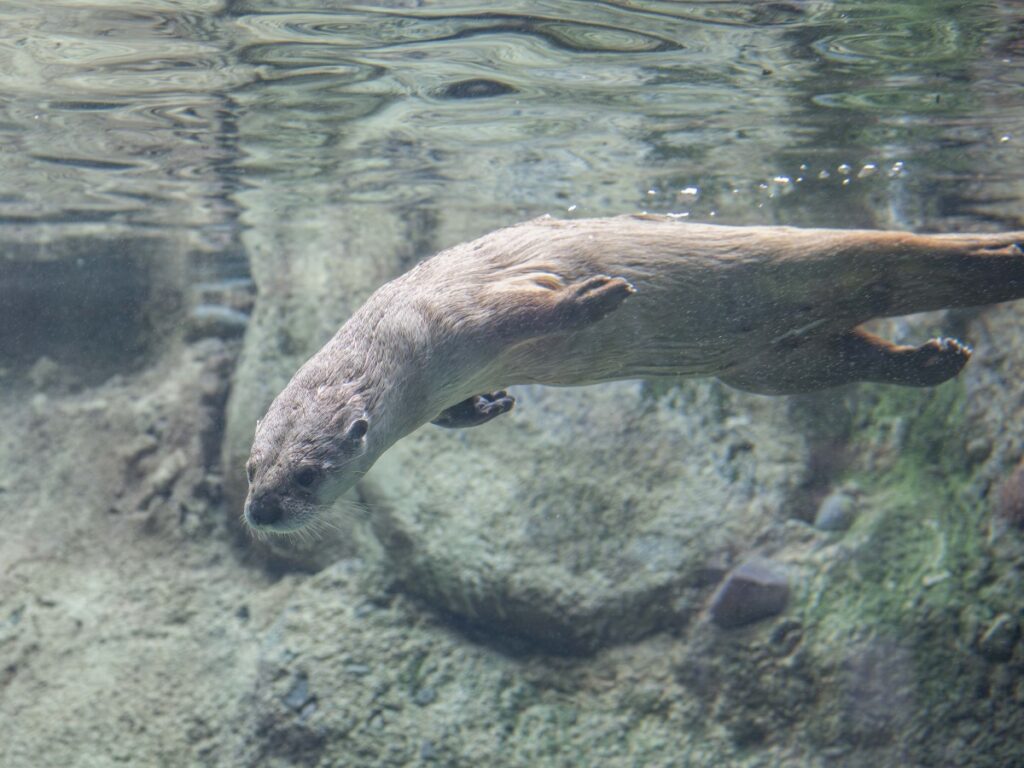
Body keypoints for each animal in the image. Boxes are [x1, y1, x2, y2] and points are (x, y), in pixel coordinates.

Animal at [244, 214, 1024, 533]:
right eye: (253, 469)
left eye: (306, 476)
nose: (260, 512)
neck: (402, 337)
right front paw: (487, 405)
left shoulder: (458, 313)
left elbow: (528, 309)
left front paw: (595, 298)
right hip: (766, 367)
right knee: (847, 348)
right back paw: (936, 360)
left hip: (809, 258)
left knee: (904, 251)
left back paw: (1002, 252)